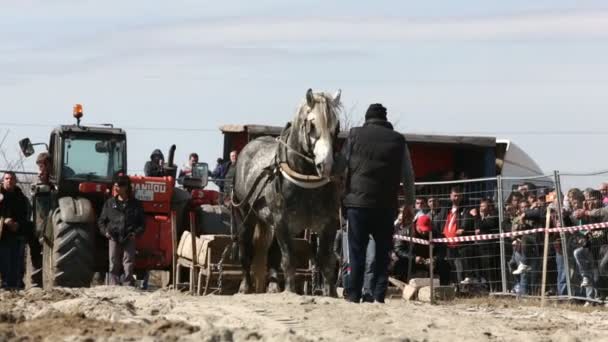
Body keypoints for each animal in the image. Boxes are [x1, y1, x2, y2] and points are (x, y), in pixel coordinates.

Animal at [233, 89, 342, 296]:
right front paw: (291, 290)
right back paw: (245, 286)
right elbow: (289, 260)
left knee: (273, 253)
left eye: (336, 126)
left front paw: (331, 293)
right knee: (245, 249)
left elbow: (327, 261)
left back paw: (274, 285)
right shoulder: (282, 221)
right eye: (312, 124)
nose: (326, 165)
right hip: (245, 216)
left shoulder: (329, 224)